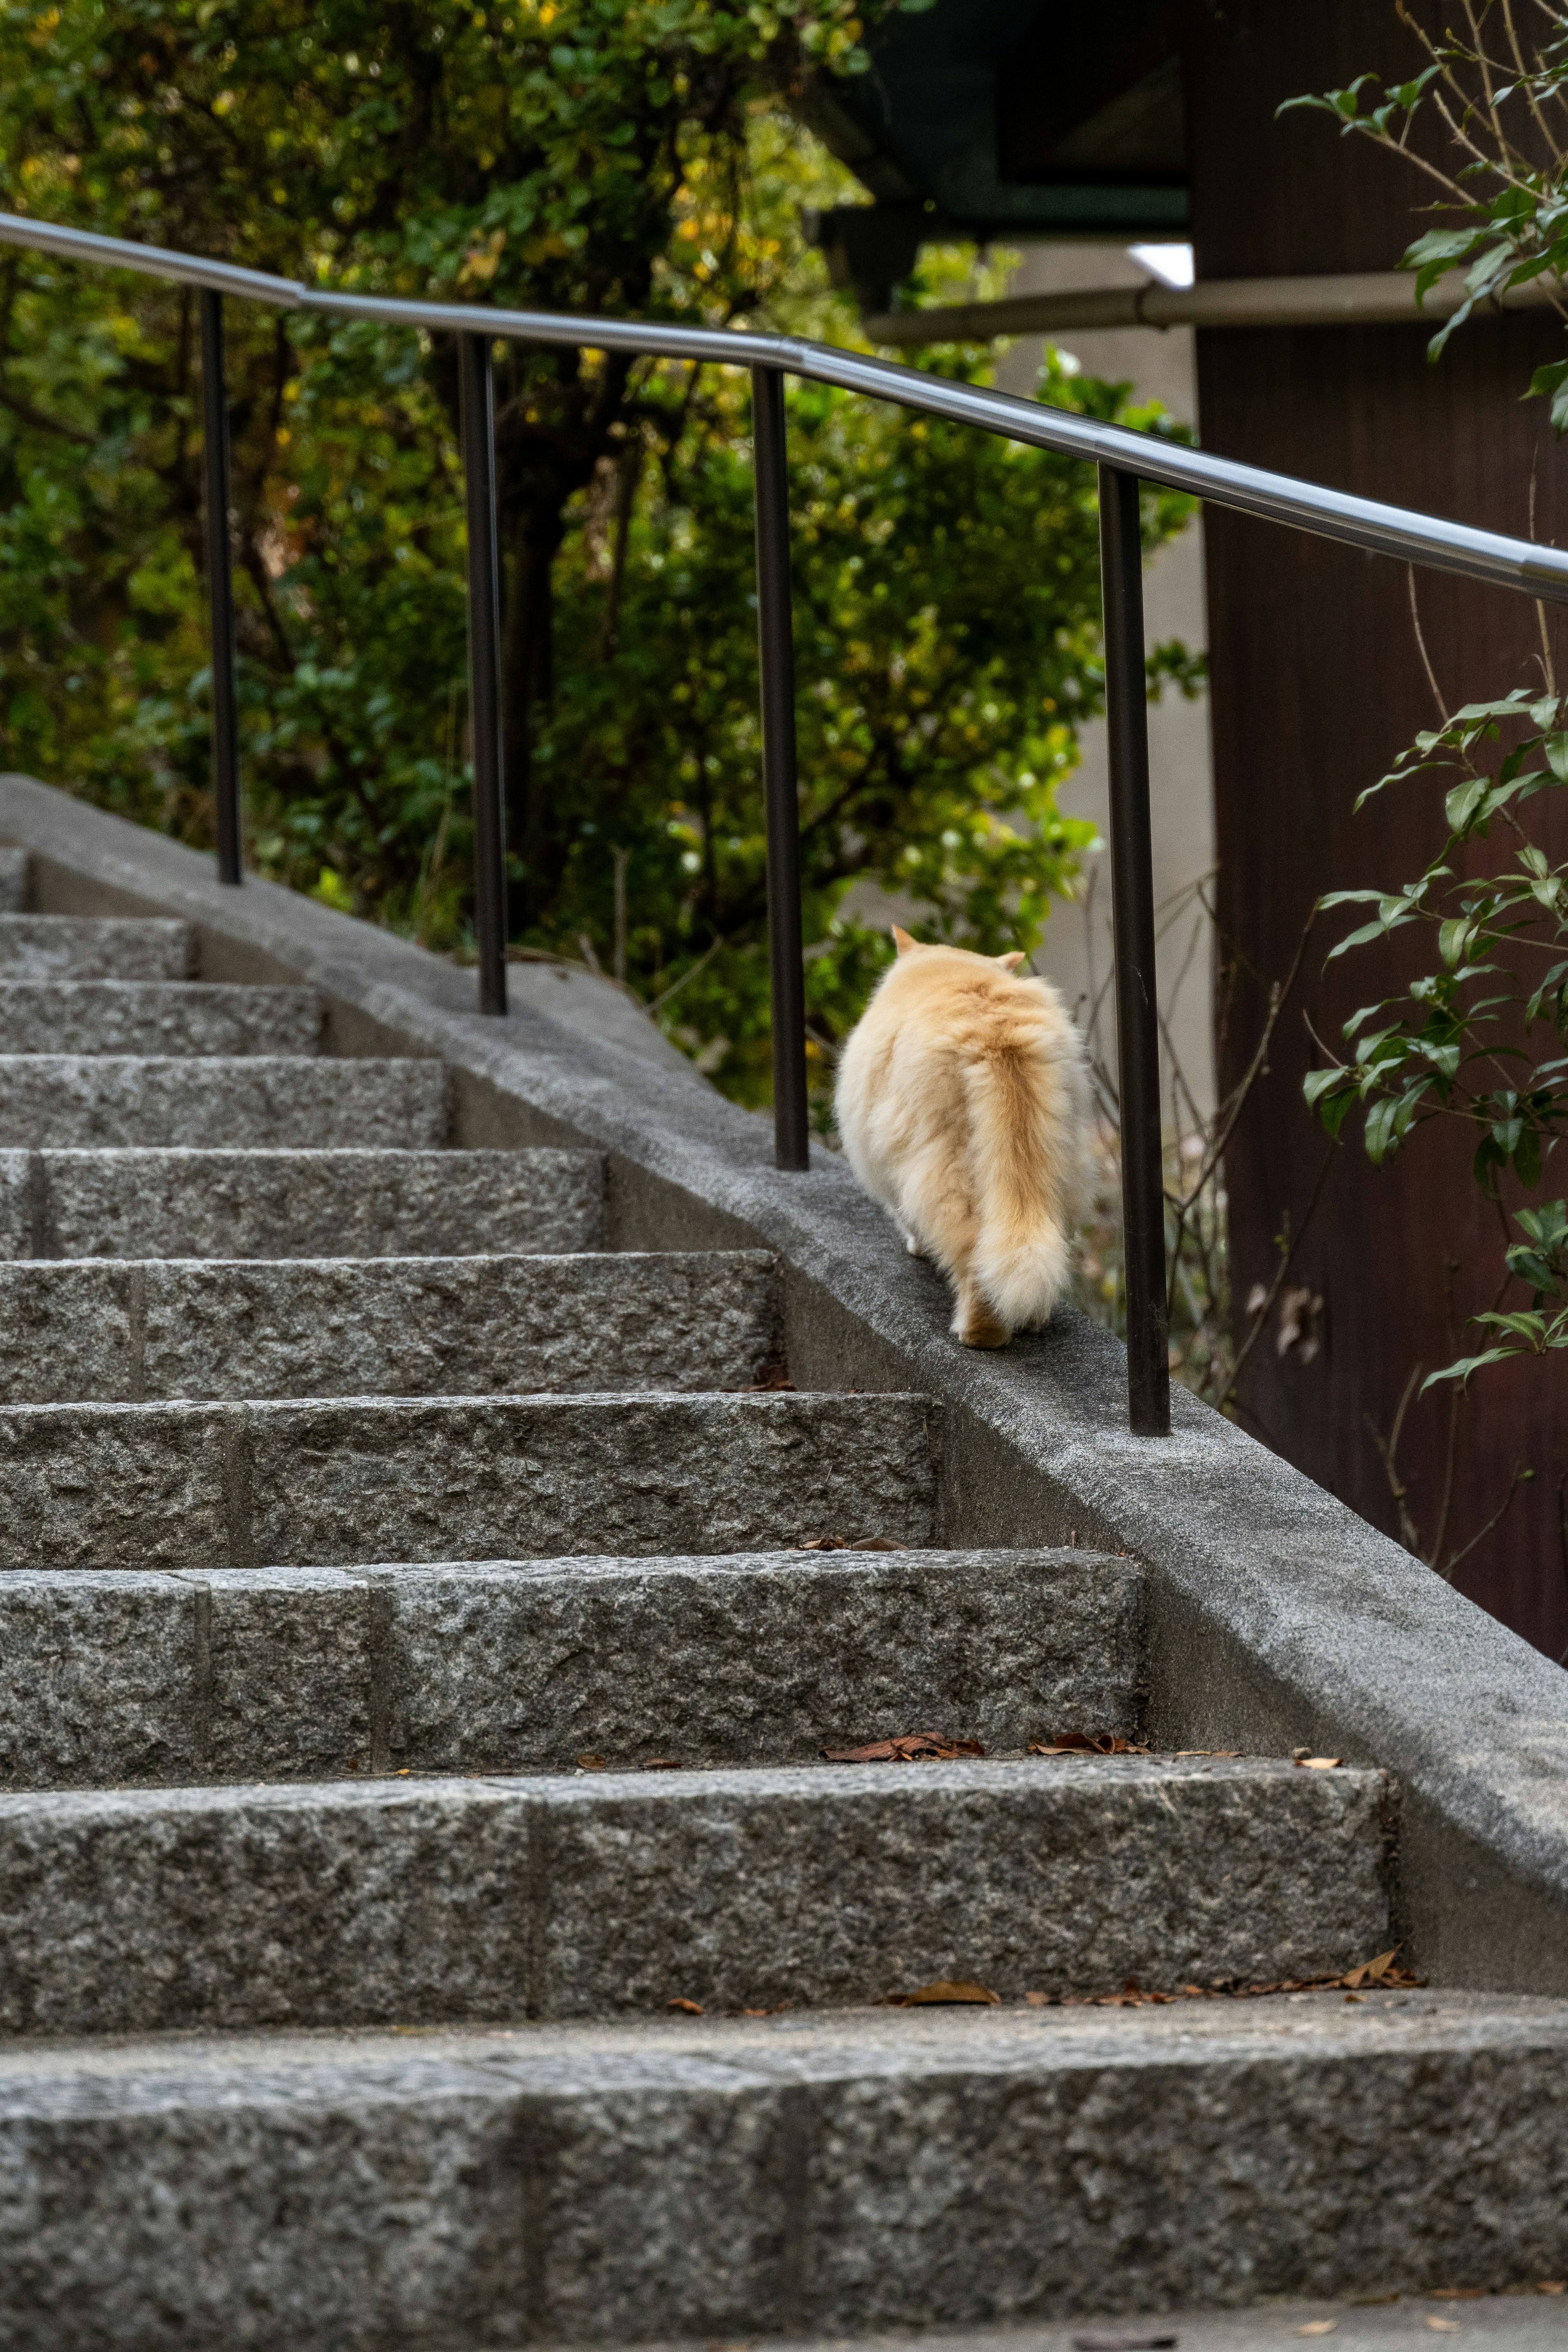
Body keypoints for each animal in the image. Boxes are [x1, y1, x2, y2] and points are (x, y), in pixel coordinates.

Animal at [832, 927, 1091, 1354]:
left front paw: (917, 1247)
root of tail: (995, 1030)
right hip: (1060, 1168)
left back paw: (981, 1334)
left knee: (971, 1251)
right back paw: (1031, 1320)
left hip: (943, 1165)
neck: (950, 964)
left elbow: (907, 1216)